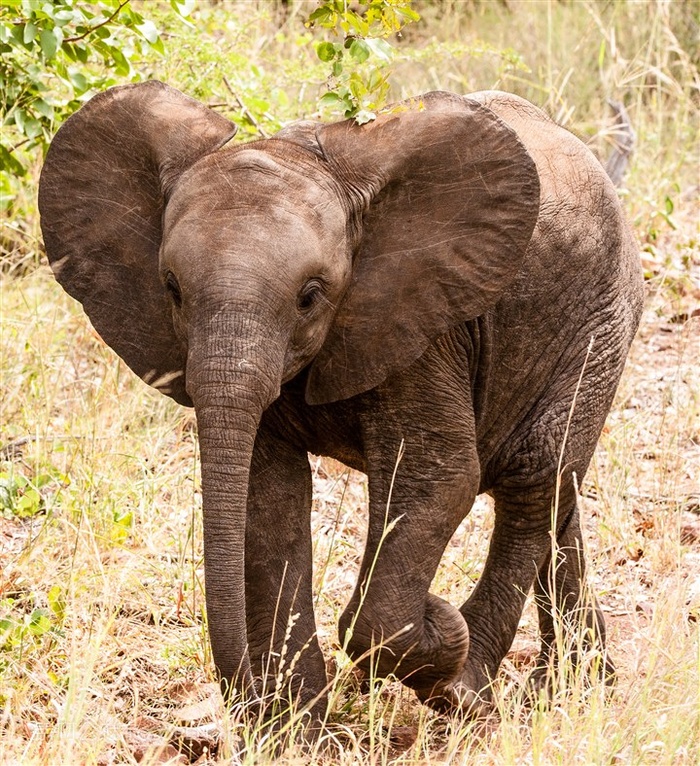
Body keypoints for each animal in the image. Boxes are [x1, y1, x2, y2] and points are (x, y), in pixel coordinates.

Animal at [37, 84, 640, 728]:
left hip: (601, 322)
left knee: (535, 480)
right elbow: (269, 499)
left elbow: (438, 480)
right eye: (171, 288)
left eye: (310, 296)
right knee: (561, 500)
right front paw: (296, 732)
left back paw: (468, 688)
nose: (245, 699)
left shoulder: (424, 325)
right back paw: (579, 687)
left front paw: (437, 637)